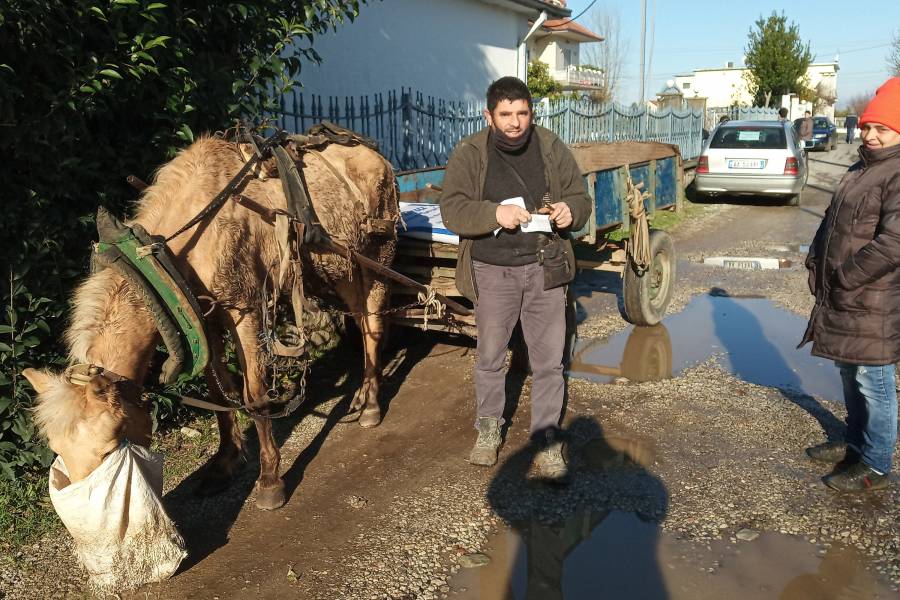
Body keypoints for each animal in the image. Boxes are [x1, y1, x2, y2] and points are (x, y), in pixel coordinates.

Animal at [22, 134, 398, 508]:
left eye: (110, 444)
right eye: (56, 448)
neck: (167, 261)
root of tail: (377, 156)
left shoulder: (245, 311)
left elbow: (254, 394)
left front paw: (269, 479)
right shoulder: (206, 322)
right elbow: (220, 394)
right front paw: (223, 465)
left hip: (375, 260)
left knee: (373, 327)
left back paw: (371, 405)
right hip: (335, 270)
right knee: (359, 321)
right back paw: (361, 395)